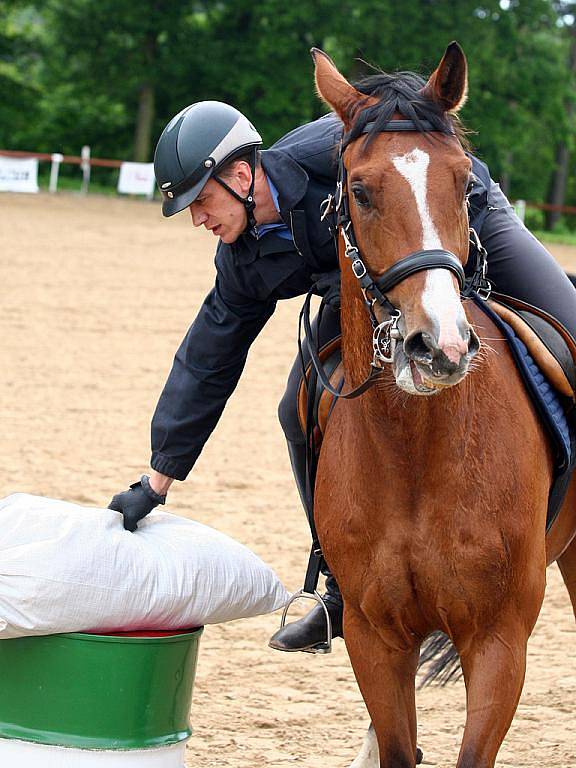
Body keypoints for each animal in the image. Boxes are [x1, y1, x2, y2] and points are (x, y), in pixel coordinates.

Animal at [312, 43, 576, 768]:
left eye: (465, 185)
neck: (416, 452)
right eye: (361, 190)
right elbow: (398, 746)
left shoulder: (499, 642)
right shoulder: (375, 638)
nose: (442, 347)